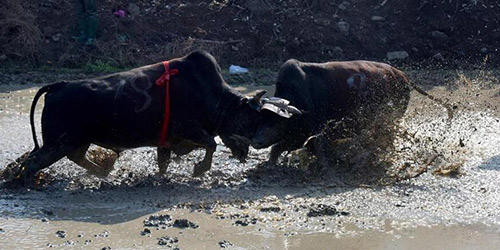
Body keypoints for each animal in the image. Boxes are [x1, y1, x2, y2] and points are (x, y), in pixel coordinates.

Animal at [4, 50, 270, 187]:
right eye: (249, 119)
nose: (249, 150)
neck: (214, 95)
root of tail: (59, 85)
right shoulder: (189, 130)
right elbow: (211, 144)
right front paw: (199, 169)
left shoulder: (167, 143)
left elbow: (164, 163)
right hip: (57, 143)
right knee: (34, 160)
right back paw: (23, 183)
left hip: (74, 142)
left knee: (75, 157)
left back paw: (104, 172)